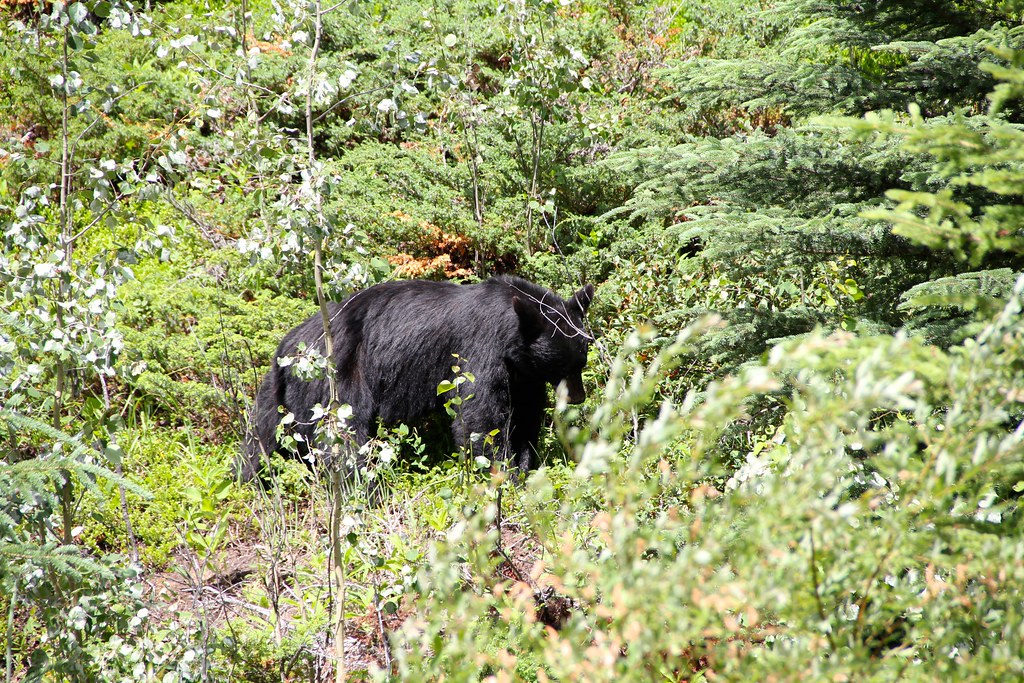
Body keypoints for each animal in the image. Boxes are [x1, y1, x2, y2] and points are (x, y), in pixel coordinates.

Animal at [240, 276, 595, 482]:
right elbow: (480, 413)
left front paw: (524, 465)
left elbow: (524, 415)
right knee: (344, 433)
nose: (579, 396)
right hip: (338, 374)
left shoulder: (524, 374)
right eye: (566, 366)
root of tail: (287, 347)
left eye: (582, 358)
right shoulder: (480, 347)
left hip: (279, 394)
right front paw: (500, 470)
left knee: (261, 437)